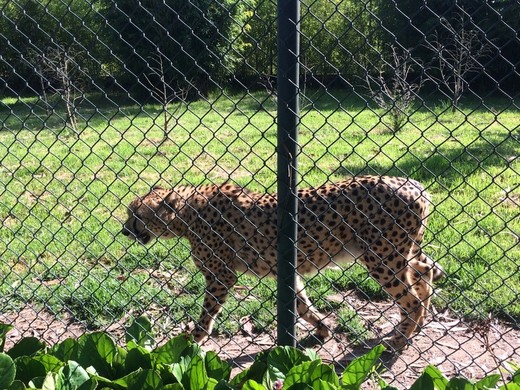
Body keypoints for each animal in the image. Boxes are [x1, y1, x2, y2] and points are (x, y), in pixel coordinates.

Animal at [122, 175, 442, 348]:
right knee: (425, 272)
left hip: (381, 257)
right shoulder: (285, 270)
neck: (186, 213)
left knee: (411, 298)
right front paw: (323, 328)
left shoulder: (221, 276)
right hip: (401, 252)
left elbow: (207, 311)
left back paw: (400, 338)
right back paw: (418, 324)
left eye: (136, 215)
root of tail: (413, 184)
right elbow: (302, 304)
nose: (124, 230)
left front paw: (194, 338)